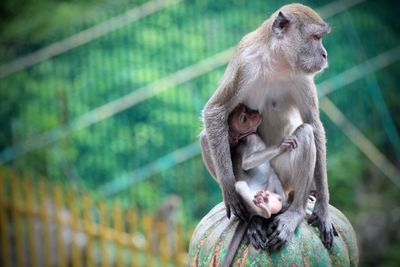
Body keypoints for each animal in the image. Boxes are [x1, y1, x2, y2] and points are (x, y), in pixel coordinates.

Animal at [200, 3, 338, 251]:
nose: (324, 54)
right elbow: (215, 111)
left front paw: (323, 208)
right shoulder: (245, 64)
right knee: (207, 136)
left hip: (284, 181)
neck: (277, 62)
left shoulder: (303, 77)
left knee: (305, 134)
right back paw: (255, 217)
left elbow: (314, 125)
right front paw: (231, 192)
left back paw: (294, 212)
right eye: (315, 37)